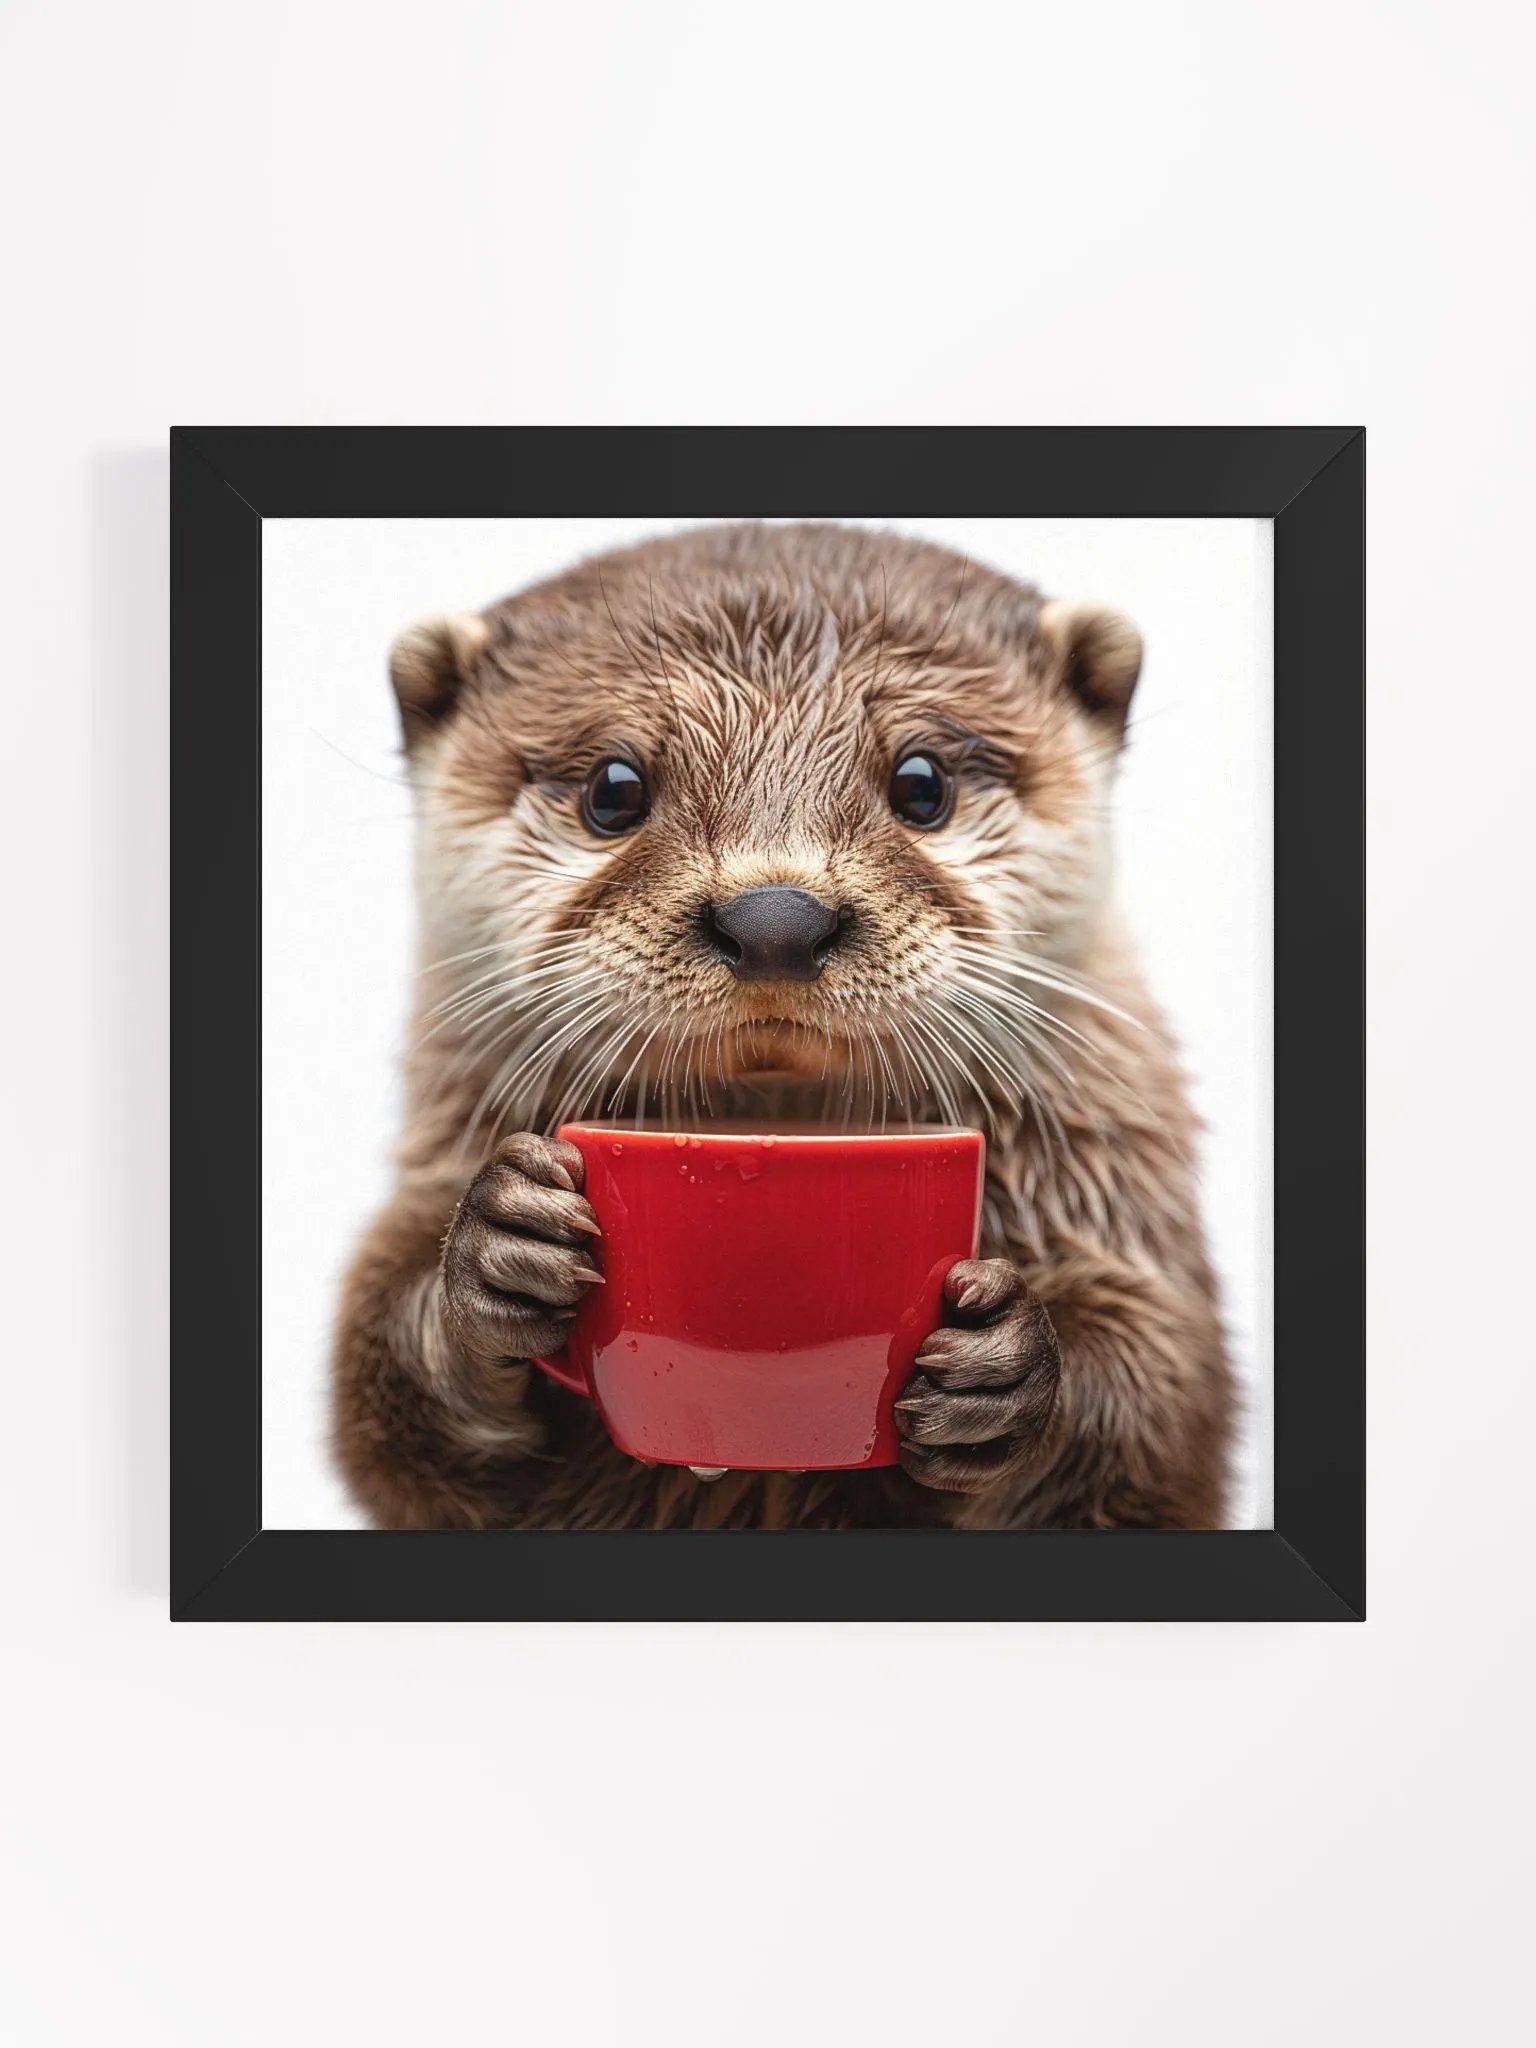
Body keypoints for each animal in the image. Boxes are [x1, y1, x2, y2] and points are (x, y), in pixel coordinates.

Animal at [333, 524, 1232, 1530]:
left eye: (922, 783)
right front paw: (492, 1251)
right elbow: (391, 1394)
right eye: (614, 788)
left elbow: (1151, 1406)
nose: (775, 919)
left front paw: (1012, 1364)